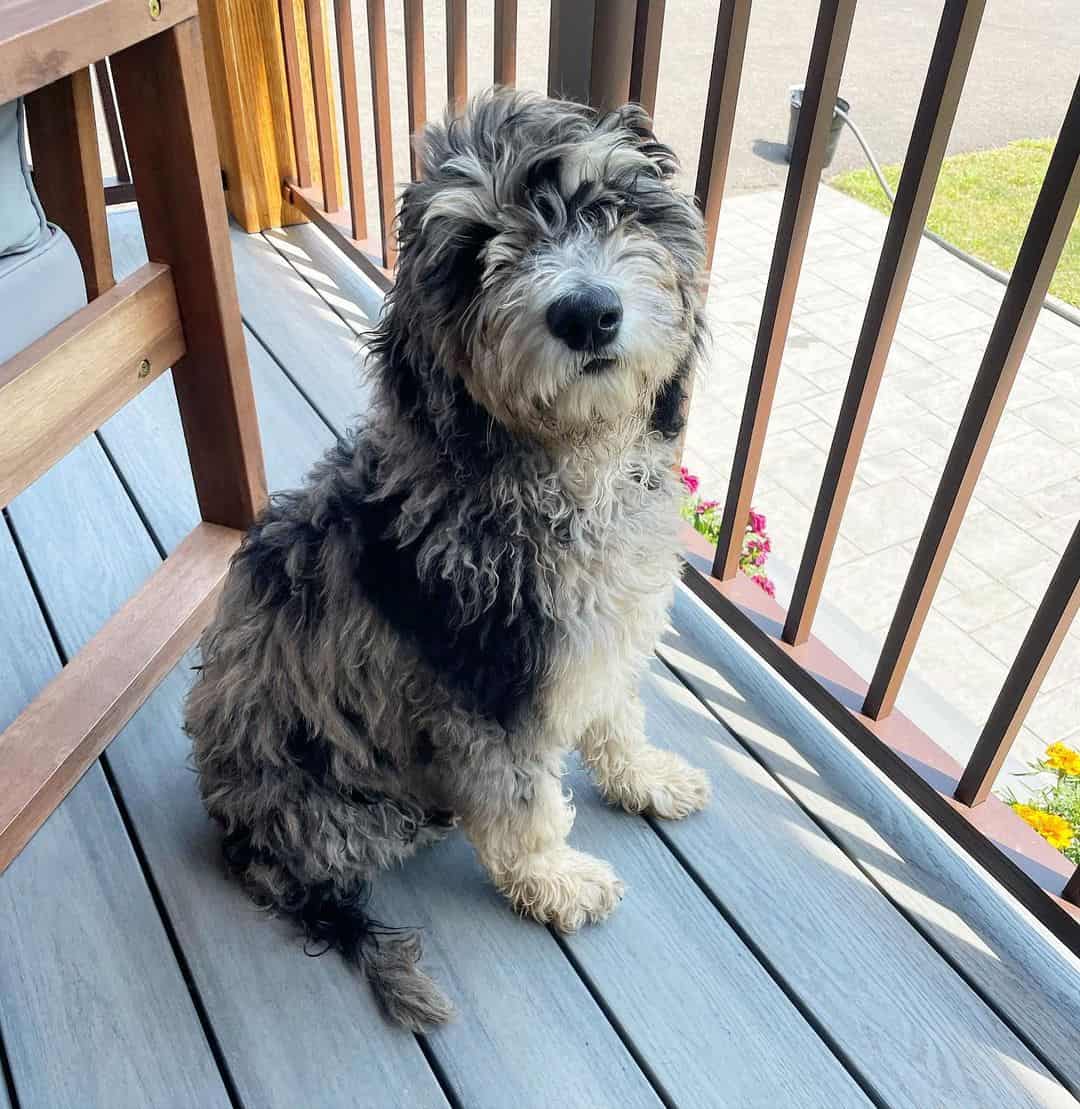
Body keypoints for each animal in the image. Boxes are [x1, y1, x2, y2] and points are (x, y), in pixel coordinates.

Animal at [186, 86, 709, 1029]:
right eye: (473, 256)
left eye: (608, 205)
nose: (587, 312)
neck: (556, 475)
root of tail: (241, 839)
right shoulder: (484, 693)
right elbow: (523, 805)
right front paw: (554, 879)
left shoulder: (596, 642)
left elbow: (617, 716)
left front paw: (643, 776)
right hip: (357, 805)